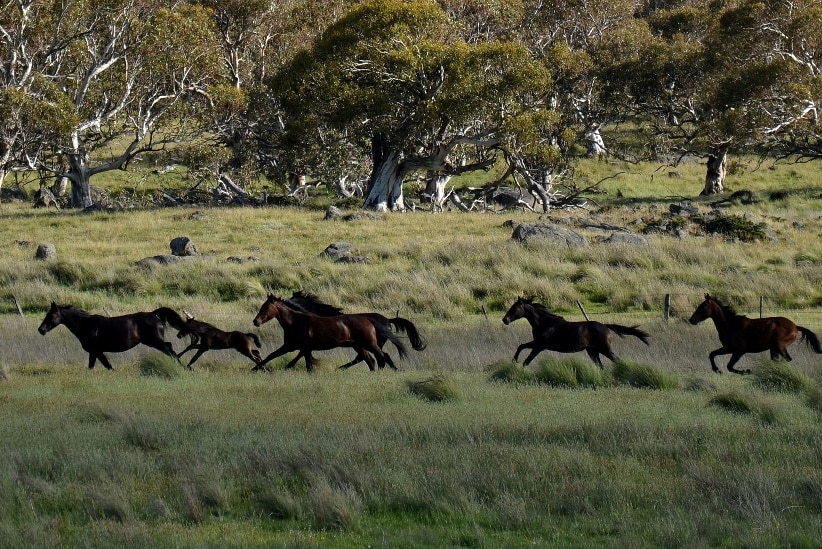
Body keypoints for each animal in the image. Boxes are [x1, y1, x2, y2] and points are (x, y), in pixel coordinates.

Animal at [39, 302, 187, 370]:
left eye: (51, 315)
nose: (41, 330)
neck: (85, 325)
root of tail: (154, 314)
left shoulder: (96, 351)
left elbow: (105, 366)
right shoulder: (95, 352)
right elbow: (100, 366)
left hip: (155, 342)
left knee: (171, 351)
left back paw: (185, 367)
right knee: (171, 348)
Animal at [249, 296, 408, 372]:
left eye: (265, 308)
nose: (255, 321)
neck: (296, 321)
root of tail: (370, 320)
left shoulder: (295, 347)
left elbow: (305, 363)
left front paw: (256, 368)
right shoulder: (297, 347)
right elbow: (274, 356)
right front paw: (256, 368)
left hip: (369, 344)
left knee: (382, 356)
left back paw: (395, 370)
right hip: (359, 346)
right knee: (371, 360)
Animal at [286, 288, 428, 370]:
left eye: (292, 300)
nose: (284, 303)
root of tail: (388, 320)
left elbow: (302, 352)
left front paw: (289, 365)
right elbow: (303, 352)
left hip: (369, 344)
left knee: (372, 357)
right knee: (372, 358)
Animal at [502, 296, 652, 368]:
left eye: (515, 308)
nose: (505, 320)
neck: (545, 323)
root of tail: (605, 326)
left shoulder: (540, 346)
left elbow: (526, 361)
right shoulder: (537, 343)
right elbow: (521, 346)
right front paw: (513, 361)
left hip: (605, 349)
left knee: (617, 361)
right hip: (592, 351)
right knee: (600, 366)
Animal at [688, 294, 822, 374]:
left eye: (702, 307)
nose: (691, 320)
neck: (730, 324)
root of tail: (795, 326)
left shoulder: (739, 351)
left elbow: (730, 366)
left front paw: (746, 371)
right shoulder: (727, 348)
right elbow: (712, 354)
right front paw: (716, 370)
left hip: (779, 346)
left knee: (787, 359)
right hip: (774, 349)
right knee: (778, 361)